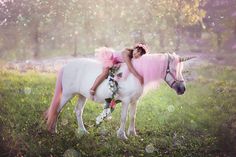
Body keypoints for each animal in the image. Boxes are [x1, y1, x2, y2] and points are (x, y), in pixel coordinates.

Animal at [44, 53, 194, 140]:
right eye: (173, 70)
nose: (182, 89)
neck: (135, 74)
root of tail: (66, 66)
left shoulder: (134, 101)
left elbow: (133, 116)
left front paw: (133, 133)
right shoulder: (126, 101)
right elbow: (123, 117)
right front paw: (122, 136)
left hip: (82, 95)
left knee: (78, 111)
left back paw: (83, 131)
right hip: (67, 95)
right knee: (57, 110)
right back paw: (53, 130)